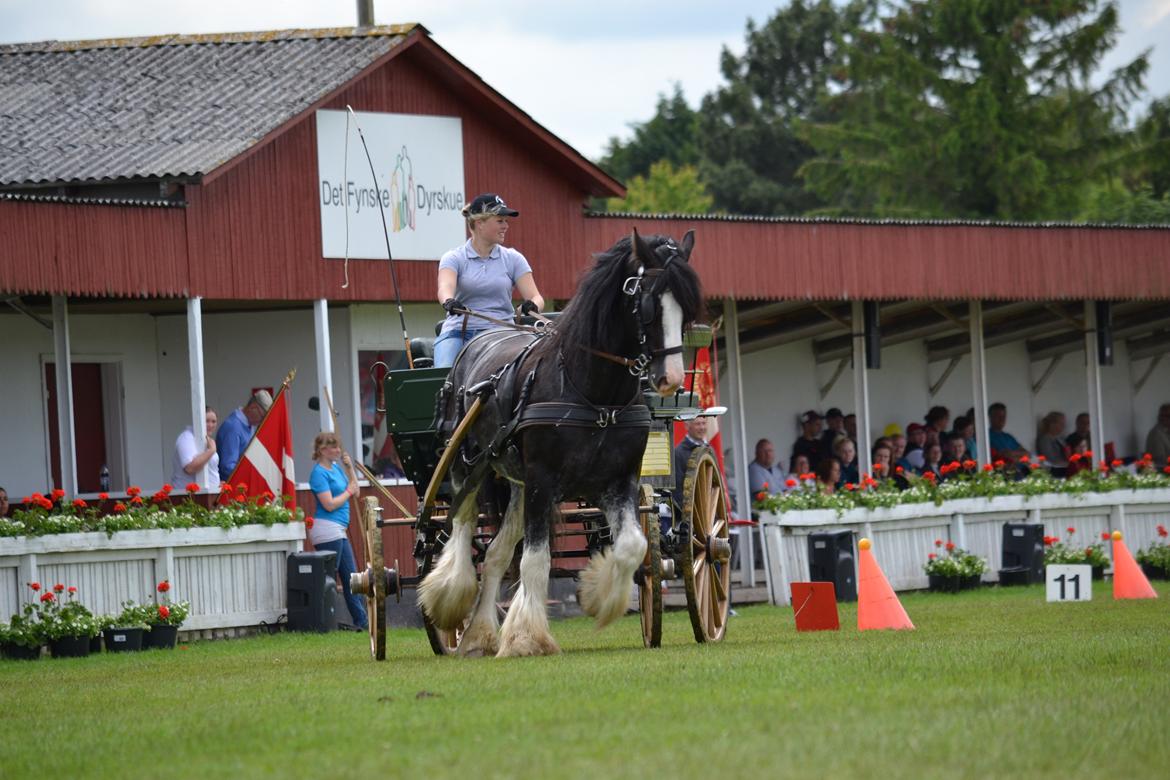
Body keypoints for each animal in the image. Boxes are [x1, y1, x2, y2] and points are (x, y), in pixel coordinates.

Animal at [416, 229, 697, 654]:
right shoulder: (543, 479)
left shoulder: (618, 480)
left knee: (496, 554)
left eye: (688, 307)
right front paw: (526, 637)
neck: (593, 392)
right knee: (462, 528)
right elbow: (536, 560)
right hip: (468, 465)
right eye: (648, 303)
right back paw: (450, 599)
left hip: (516, 483)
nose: (672, 379)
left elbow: (632, 545)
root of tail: (481, 337)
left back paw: (480, 633)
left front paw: (599, 595)